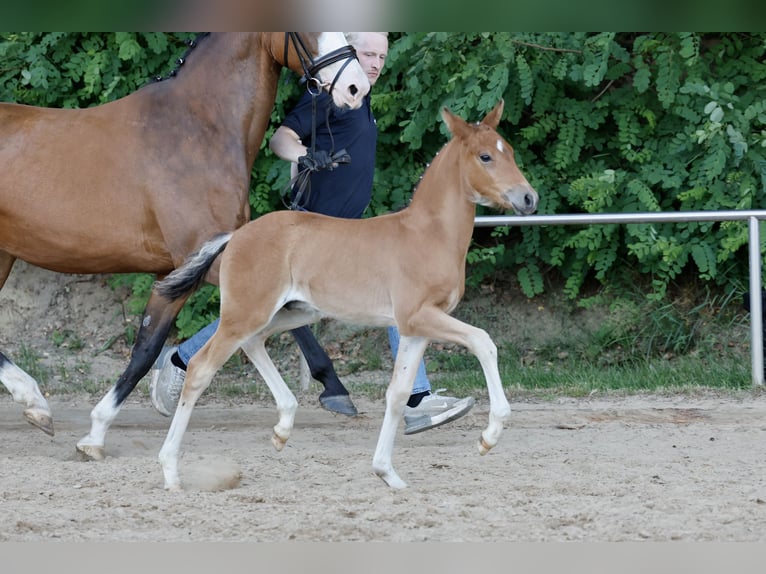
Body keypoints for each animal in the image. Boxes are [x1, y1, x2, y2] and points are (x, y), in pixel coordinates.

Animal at [0, 33, 370, 456]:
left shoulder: (175, 271)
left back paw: (34, 403)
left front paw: (97, 431)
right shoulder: (205, 260)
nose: (356, 87)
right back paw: (32, 399)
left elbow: (146, 349)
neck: (198, 130)